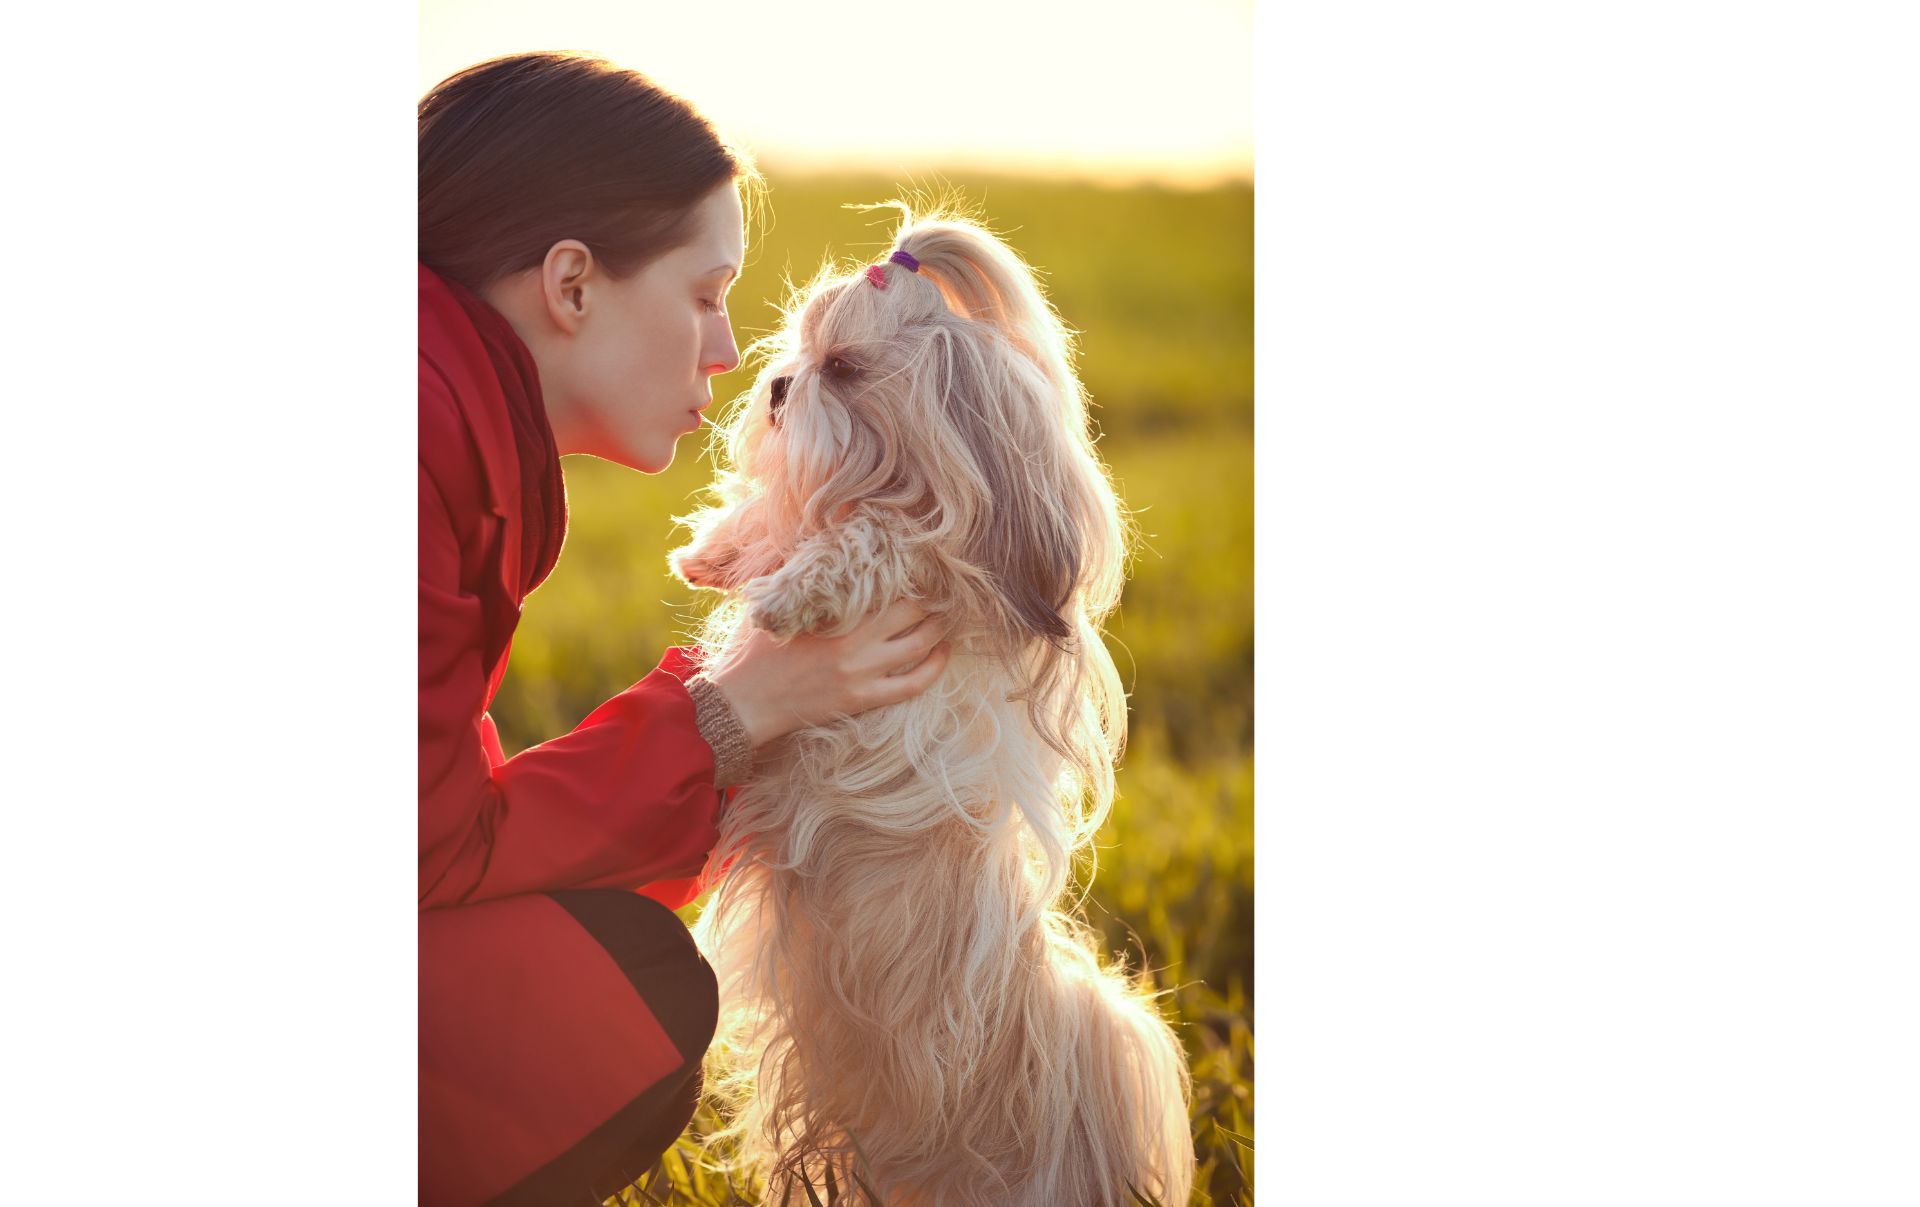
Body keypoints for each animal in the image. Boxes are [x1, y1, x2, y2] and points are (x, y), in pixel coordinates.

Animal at [668, 209, 1190, 1205]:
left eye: (843, 368)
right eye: (797, 353)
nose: (779, 385)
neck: (890, 473)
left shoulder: (951, 572)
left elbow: (883, 540)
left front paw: (791, 587)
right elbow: (784, 523)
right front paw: (719, 546)